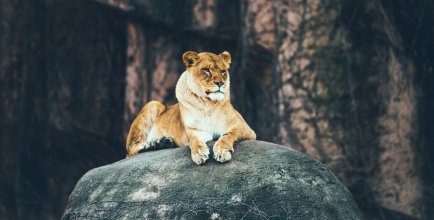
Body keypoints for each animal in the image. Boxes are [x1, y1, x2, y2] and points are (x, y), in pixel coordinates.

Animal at [124, 50, 256, 164]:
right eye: (206, 70)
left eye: (223, 71)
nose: (220, 83)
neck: (209, 104)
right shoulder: (194, 129)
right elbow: (194, 140)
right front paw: (199, 154)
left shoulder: (244, 127)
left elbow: (229, 135)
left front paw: (222, 151)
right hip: (153, 103)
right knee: (131, 149)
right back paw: (161, 143)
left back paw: (164, 142)